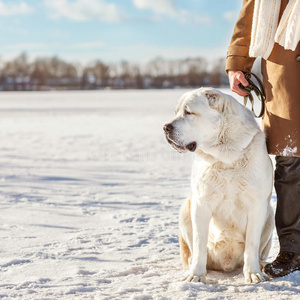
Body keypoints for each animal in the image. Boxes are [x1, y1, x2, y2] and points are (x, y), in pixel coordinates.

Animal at [164, 87, 274, 284]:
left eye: (188, 112)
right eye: (176, 112)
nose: (165, 127)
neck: (225, 157)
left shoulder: (258, 205)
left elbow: (252, 244)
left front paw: (253, 272)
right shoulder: (201, 203)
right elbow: (199, 243)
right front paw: (196, 275)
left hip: (270, 214)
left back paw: (262, 266)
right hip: (185, 208)